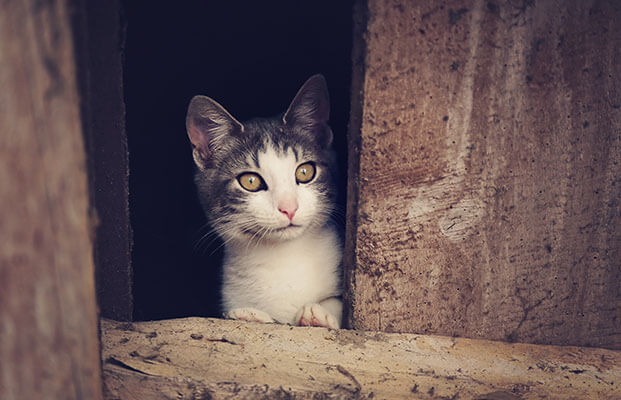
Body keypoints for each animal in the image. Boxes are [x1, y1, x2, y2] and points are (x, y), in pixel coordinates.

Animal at [184, 75, 344, 328]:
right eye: (250, 181)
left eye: (305, 171)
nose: (289, 208)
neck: (284, 258)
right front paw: (250, 314)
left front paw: (319, 313)